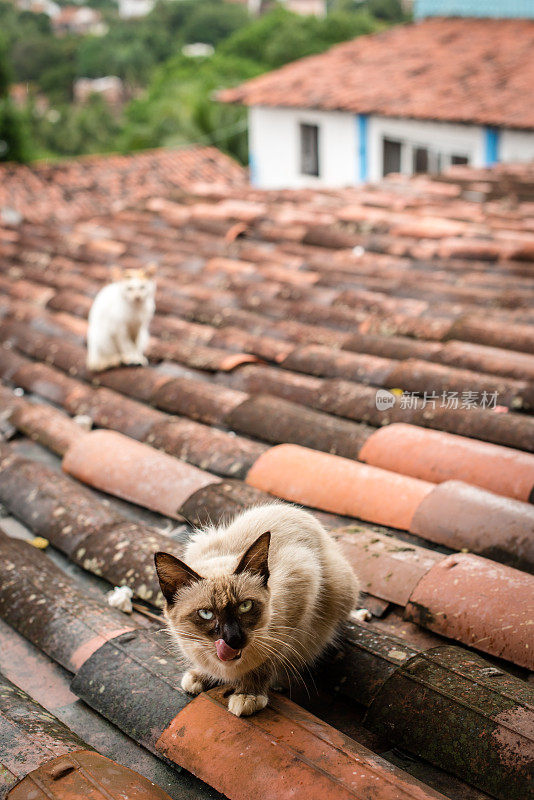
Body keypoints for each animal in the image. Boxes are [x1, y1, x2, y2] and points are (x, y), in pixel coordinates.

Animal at [157, 504, 362, 716]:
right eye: (206, 614)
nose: (234, 639)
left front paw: (249, 695)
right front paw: (202, 677)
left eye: (245, 606)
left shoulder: (294, 609)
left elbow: (266, 663)